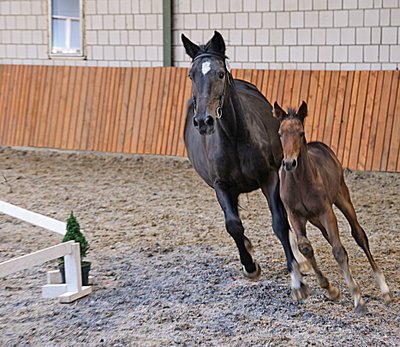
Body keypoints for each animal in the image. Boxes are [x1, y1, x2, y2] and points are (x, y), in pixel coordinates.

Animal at [182, 31, 310, 300]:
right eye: (191, 75)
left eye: (220, 73)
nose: (204, 121)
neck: (233, 136)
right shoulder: (221, 186)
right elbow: (233, 225)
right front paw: (250, 265)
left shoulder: (269, 178)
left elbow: (279, 222)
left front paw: (296, 278)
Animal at [274, 101, 390, 316]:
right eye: (280, 133)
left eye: (301, 133)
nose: (289, 163)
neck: (300, 183)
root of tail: (322, 145)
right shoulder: (295, 215)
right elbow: (306, 248)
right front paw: (331, 290)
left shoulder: (326, 212)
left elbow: (338, 251)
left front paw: (358, 299)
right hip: (316, 220)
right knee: (330, 239)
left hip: (342, 199)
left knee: (359, 235)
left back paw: (384, 289)